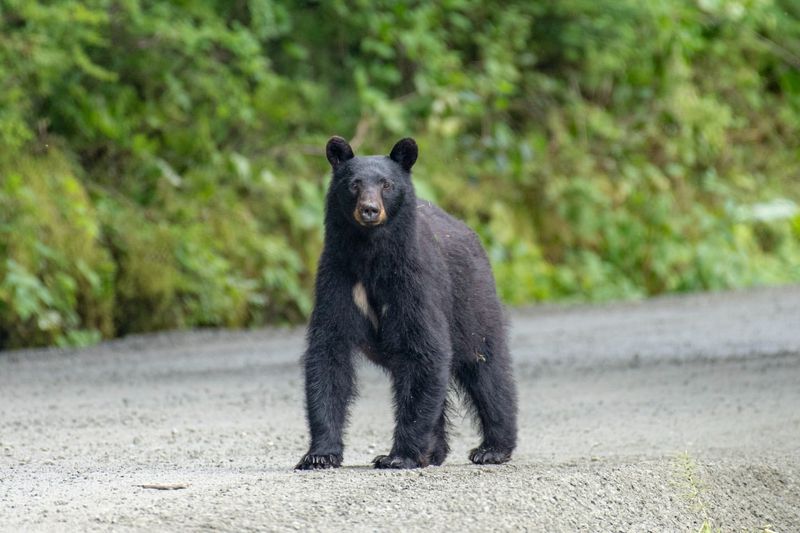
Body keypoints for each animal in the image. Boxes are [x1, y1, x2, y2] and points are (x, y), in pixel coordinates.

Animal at [294, 137, 520, 470]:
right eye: (354, 184)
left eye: (386, 184)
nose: (370, 210)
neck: (370, 255)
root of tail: (470, 232)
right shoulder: (337, 277)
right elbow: (328, 354)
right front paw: (319, 454)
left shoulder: (414, 282)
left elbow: (426, 349)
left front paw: (398, 456)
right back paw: (435, 451)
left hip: (473, 303)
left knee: (486, 370)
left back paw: (492, 448)